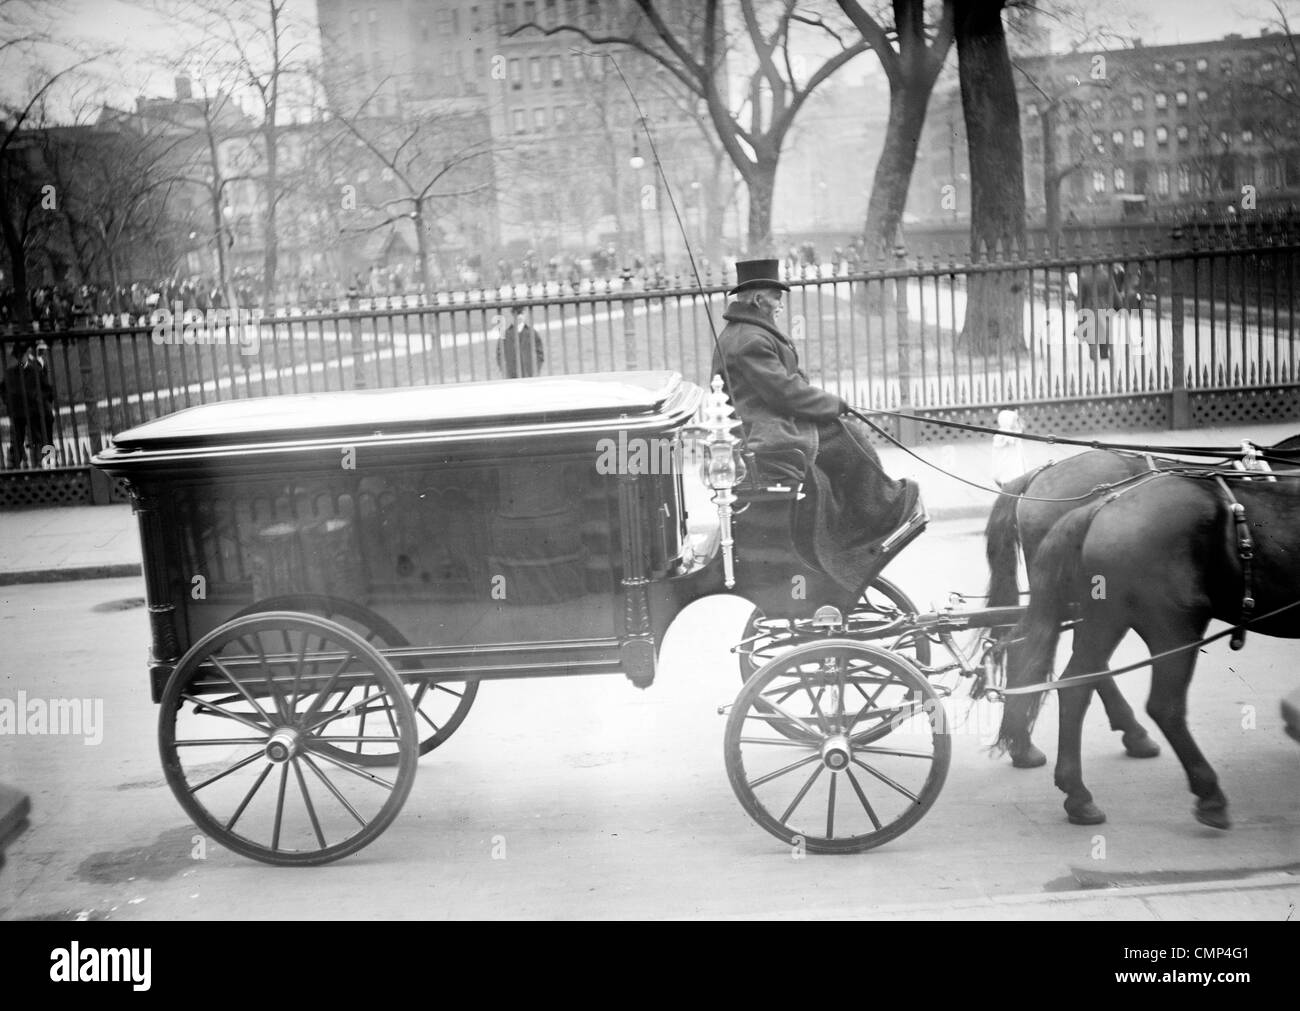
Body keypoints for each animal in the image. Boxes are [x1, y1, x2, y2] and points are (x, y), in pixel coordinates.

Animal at [993, 467, 1300, 821]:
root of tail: (1103, 505)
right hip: (1174, 625)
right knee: (1163, 705)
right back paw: (1207, 792)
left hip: (1105, 617)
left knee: (1075, 683)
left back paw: (1076, 791)